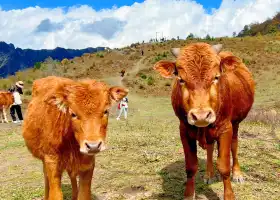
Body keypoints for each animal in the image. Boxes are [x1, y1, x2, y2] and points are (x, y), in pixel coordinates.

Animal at [154, 43, 255, 199]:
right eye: (181, 79)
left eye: (216, 77)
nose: (201, 116)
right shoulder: (184, 130)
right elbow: (191, 166)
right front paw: (189, 194)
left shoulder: (226, 128)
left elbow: (224, 166)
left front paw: (229, 194)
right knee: (210, 147)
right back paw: (209, 174)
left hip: (236, 124)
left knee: (234, 145)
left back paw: (237, 173)